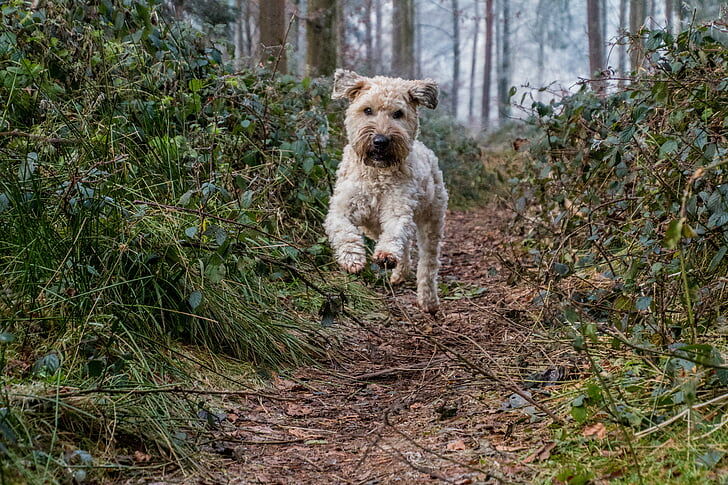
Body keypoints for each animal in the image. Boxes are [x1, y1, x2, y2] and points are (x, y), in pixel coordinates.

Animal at [326, 70, 450, 314]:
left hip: (432, 219)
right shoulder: (342, 207)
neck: (377, 174)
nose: (380, 141)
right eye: (367, 110)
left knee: (427, 262)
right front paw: (352, 258)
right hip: (373, 227)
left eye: (398, 114)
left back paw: (428, 299)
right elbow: (343, 229)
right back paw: (399, 273)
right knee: (406, 247)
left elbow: (395, 233)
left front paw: (386, 254)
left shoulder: (398, 208)